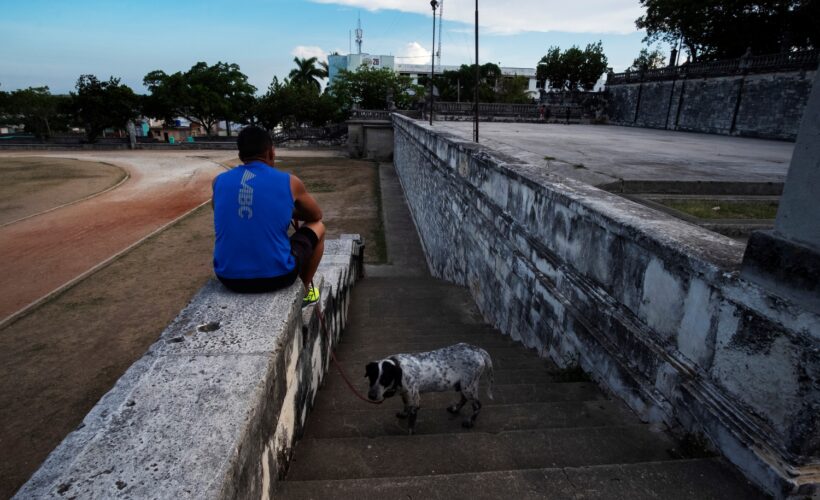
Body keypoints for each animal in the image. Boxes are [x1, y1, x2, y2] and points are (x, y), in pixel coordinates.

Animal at [366, 344, 494, 434]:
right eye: (372, 377)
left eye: (385, 379)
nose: (371, 396)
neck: (399, 368)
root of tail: (478, 350)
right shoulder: (406, 393)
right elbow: (406, 405)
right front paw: (404, 413)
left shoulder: (414, 397)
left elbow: (412, 417)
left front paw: (410, 431)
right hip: (464, 385)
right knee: (464, 399)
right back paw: (455, 409)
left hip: (468, 386)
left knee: (477, 405)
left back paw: (470, 421)